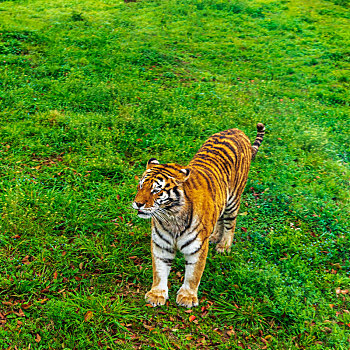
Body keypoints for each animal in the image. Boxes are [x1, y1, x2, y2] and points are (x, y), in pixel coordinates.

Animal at [133, 123, 264, 308]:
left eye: (156, 190)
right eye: (140, 186)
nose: (137, 203)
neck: (171, 217)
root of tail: (238, 131)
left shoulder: (197, 248)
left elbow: (193, 274)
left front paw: (187, 297)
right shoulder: (161, 245)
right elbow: (159, 271)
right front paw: (156, 294)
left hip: (233, 200)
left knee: (230, 224)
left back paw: (224, 245)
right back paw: (215, 236)